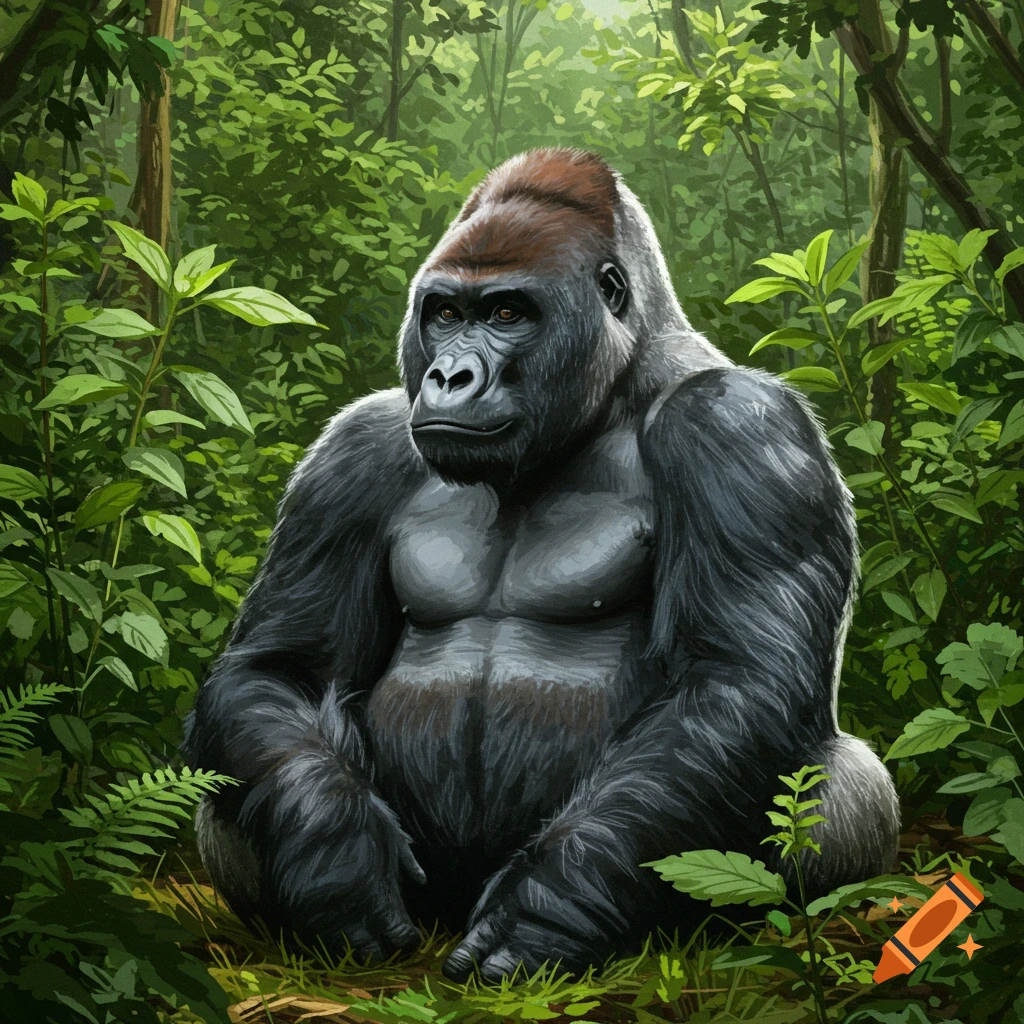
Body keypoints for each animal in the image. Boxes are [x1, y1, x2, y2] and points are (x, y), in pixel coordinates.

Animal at [184, 147, 900, 980]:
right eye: (445, 314)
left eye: (506, 315)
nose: (450, 378)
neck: (616, 388)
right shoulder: (354, 453)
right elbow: (281, 666)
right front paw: (330, 853)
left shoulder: (740, 425)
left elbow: (737, 678)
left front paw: (551, 905)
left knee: (838, 785)